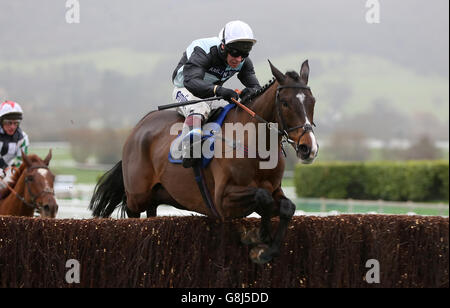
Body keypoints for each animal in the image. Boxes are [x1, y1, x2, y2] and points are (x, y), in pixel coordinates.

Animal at [89, 61, 318, 264]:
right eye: (285, 103)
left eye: (312, 101)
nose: (308, 148)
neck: (254, 145)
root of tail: (139, 127)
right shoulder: (223, 200)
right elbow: (264, 198)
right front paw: (258, 237)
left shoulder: (274, 188)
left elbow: (287, 207)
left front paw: (266, 250)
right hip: (137, 196)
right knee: (132, 216)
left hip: (156, 195)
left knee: (152, 216)